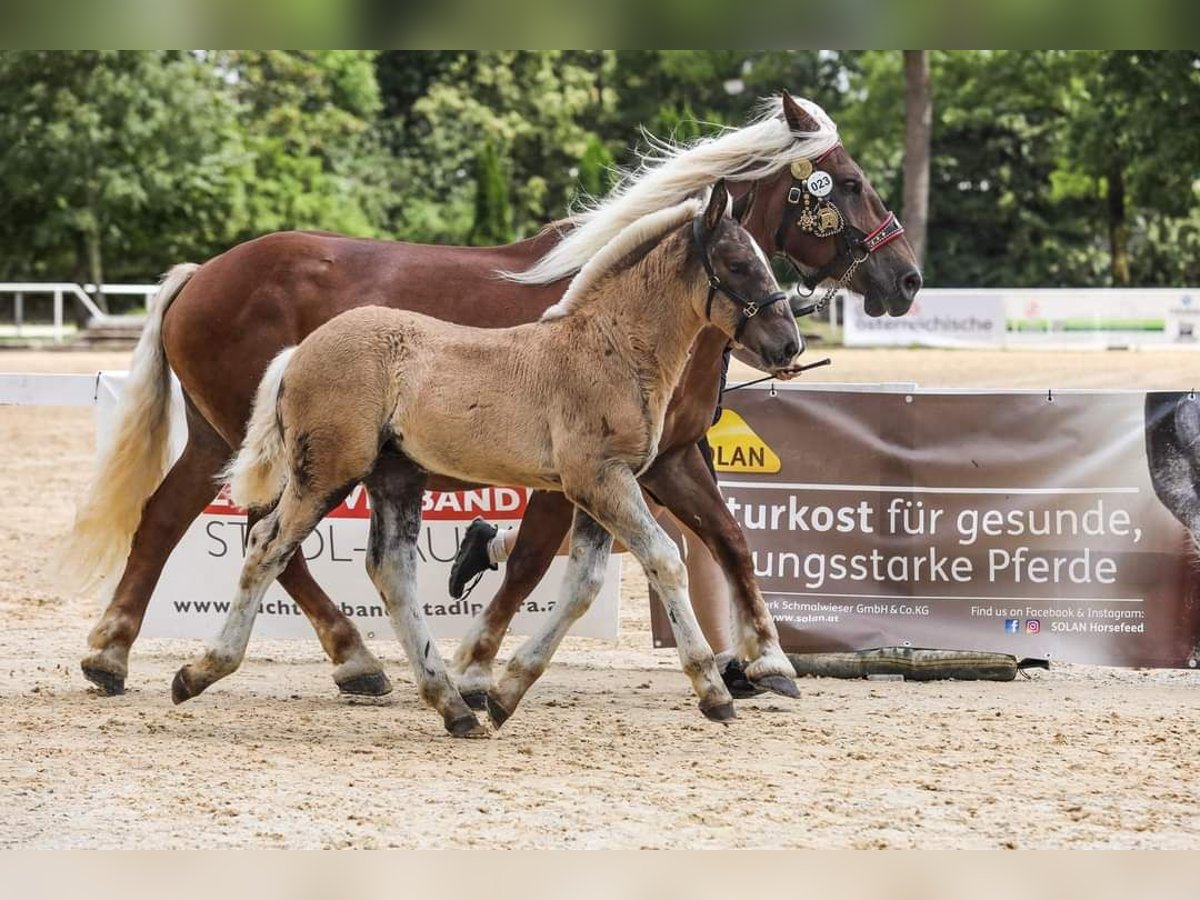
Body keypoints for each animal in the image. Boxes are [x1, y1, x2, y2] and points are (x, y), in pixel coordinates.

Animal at [169, 180, 801, 734]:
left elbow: (584, 585)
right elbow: (664, 560)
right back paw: (202, 672)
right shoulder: (599, 481)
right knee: (266, 546)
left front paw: (504, 693)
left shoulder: (604, 488)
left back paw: (453, 707)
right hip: (325, 474)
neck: (610, 347)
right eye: (738, 264)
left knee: (389, 571)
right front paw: (714, 690)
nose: (788, 344)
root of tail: (299, 351)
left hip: (395, 477)